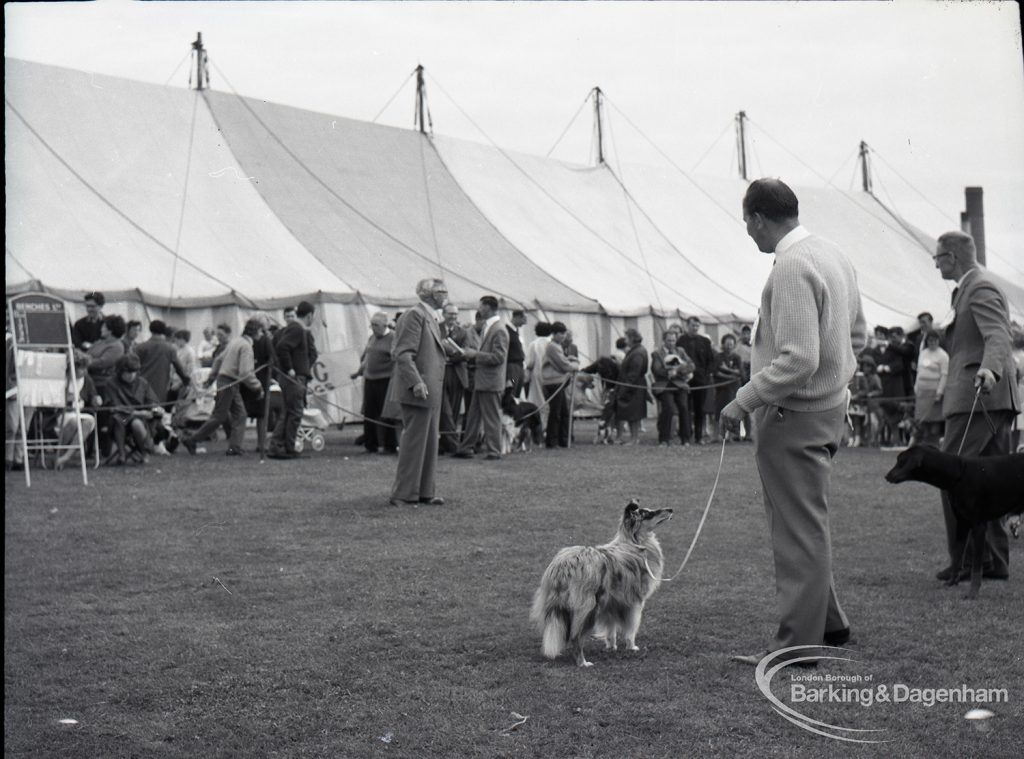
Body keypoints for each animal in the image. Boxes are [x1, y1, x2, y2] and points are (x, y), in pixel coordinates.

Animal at [528, 499, 671, 667]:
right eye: (648, 513)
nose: (671, 509)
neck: (635, 542)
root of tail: (564, 565)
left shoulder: (611, 603)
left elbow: (611, 629)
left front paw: (611, 647)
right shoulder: (634, 602)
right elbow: (631, 629)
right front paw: (632, 647)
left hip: (558, 605)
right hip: (588, 608)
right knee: (576, 637)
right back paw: (583, 663)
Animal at [880, 444, 1024, 598]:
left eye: (900, 461)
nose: (887, 476)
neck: (959, 474)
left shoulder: (978, 526)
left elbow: (976, 567)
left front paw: (973, 592)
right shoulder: (962, 523)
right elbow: (957, 554)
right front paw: (952, 581)